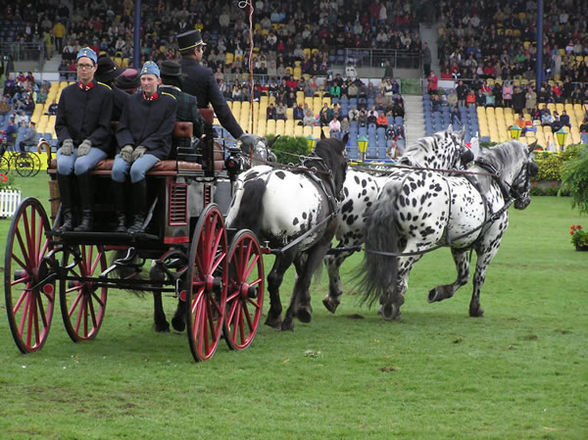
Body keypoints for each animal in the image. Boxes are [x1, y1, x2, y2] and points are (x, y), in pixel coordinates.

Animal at [225, 134, 346, 330]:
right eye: (346, 163)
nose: (341, 194)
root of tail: (261, 181)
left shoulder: (300, 246)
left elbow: (301, 273)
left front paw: (304, 307)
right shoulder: (320, 244)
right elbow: (305, 277)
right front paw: (293, 315)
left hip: (240, 237)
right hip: (287, 248)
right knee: (274, 278)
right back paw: (275, 315)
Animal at [322, 125, 474, 314]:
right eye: (466, 157)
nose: (470, 179)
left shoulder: (399, 243)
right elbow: (400, 274)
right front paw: (390, 301)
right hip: (352, 238)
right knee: (331, 260)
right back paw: (333, 297)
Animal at [358, 140, 536, 320]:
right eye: (533, 169)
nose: (526, 200)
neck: (491, 183)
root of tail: (398, 183)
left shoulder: (460, 244)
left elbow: (463, 276)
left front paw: (439, 292)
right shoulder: (490, 245)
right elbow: (478, 277)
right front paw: (475, 308)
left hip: (398, 240)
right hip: (421, 242)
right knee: (399, 268)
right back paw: (391, 304)